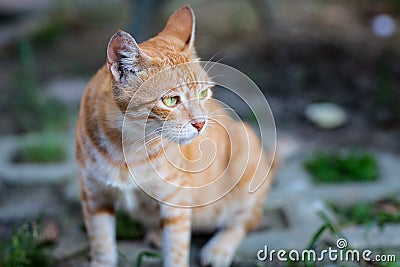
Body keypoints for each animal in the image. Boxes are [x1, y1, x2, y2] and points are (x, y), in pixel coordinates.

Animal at [74, 4, 276, 267]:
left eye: (203, 93)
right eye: (170, 100)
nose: (200, 123)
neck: (127, 146)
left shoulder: (176, 201)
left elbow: (178, 249)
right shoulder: (94, 195)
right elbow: (102, 246)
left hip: (246, 149)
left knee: (243, 221)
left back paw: (219, 248)